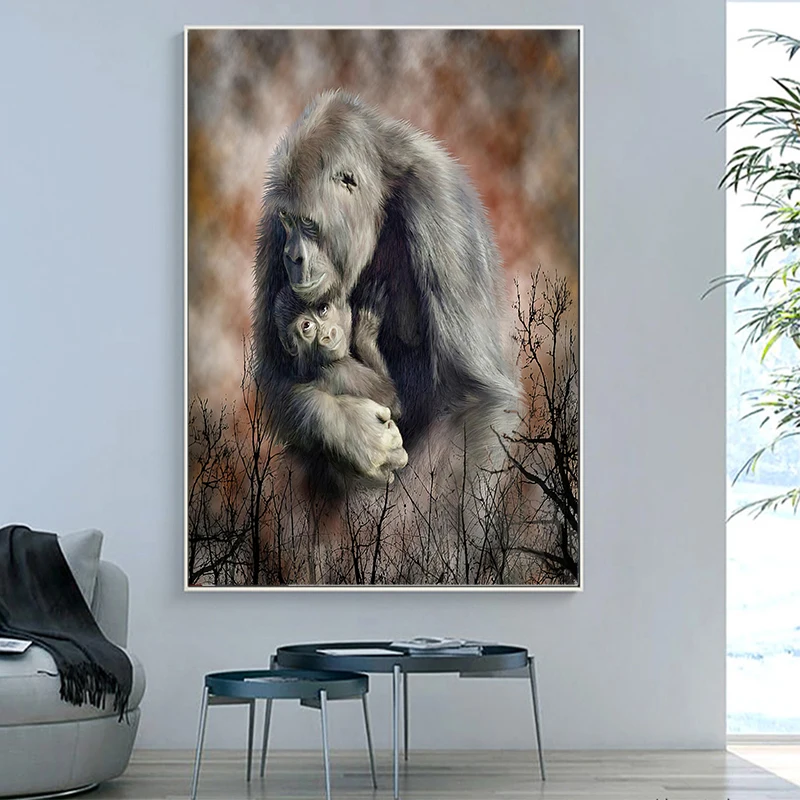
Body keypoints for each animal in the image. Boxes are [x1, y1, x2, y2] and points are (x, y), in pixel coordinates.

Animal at [253, 90, 519, 488]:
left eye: (308, 223)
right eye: (288, 221)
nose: (294, 257)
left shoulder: (439, 204)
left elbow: (474, 400)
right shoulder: (272, 223)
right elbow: (276, 370)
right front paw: (351, 433)